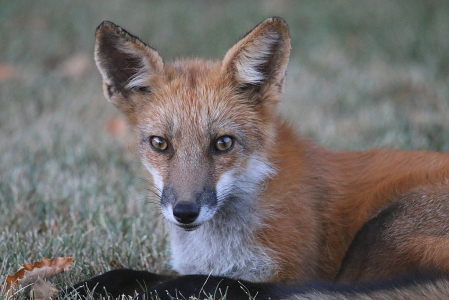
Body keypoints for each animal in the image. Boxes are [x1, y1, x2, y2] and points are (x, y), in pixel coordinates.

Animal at [75, 17, 448, 298]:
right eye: (160, 143)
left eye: (223, 143)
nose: (185, 212)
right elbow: (127, 274)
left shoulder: (294, 273)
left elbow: (204, 283)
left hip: (378, 233)